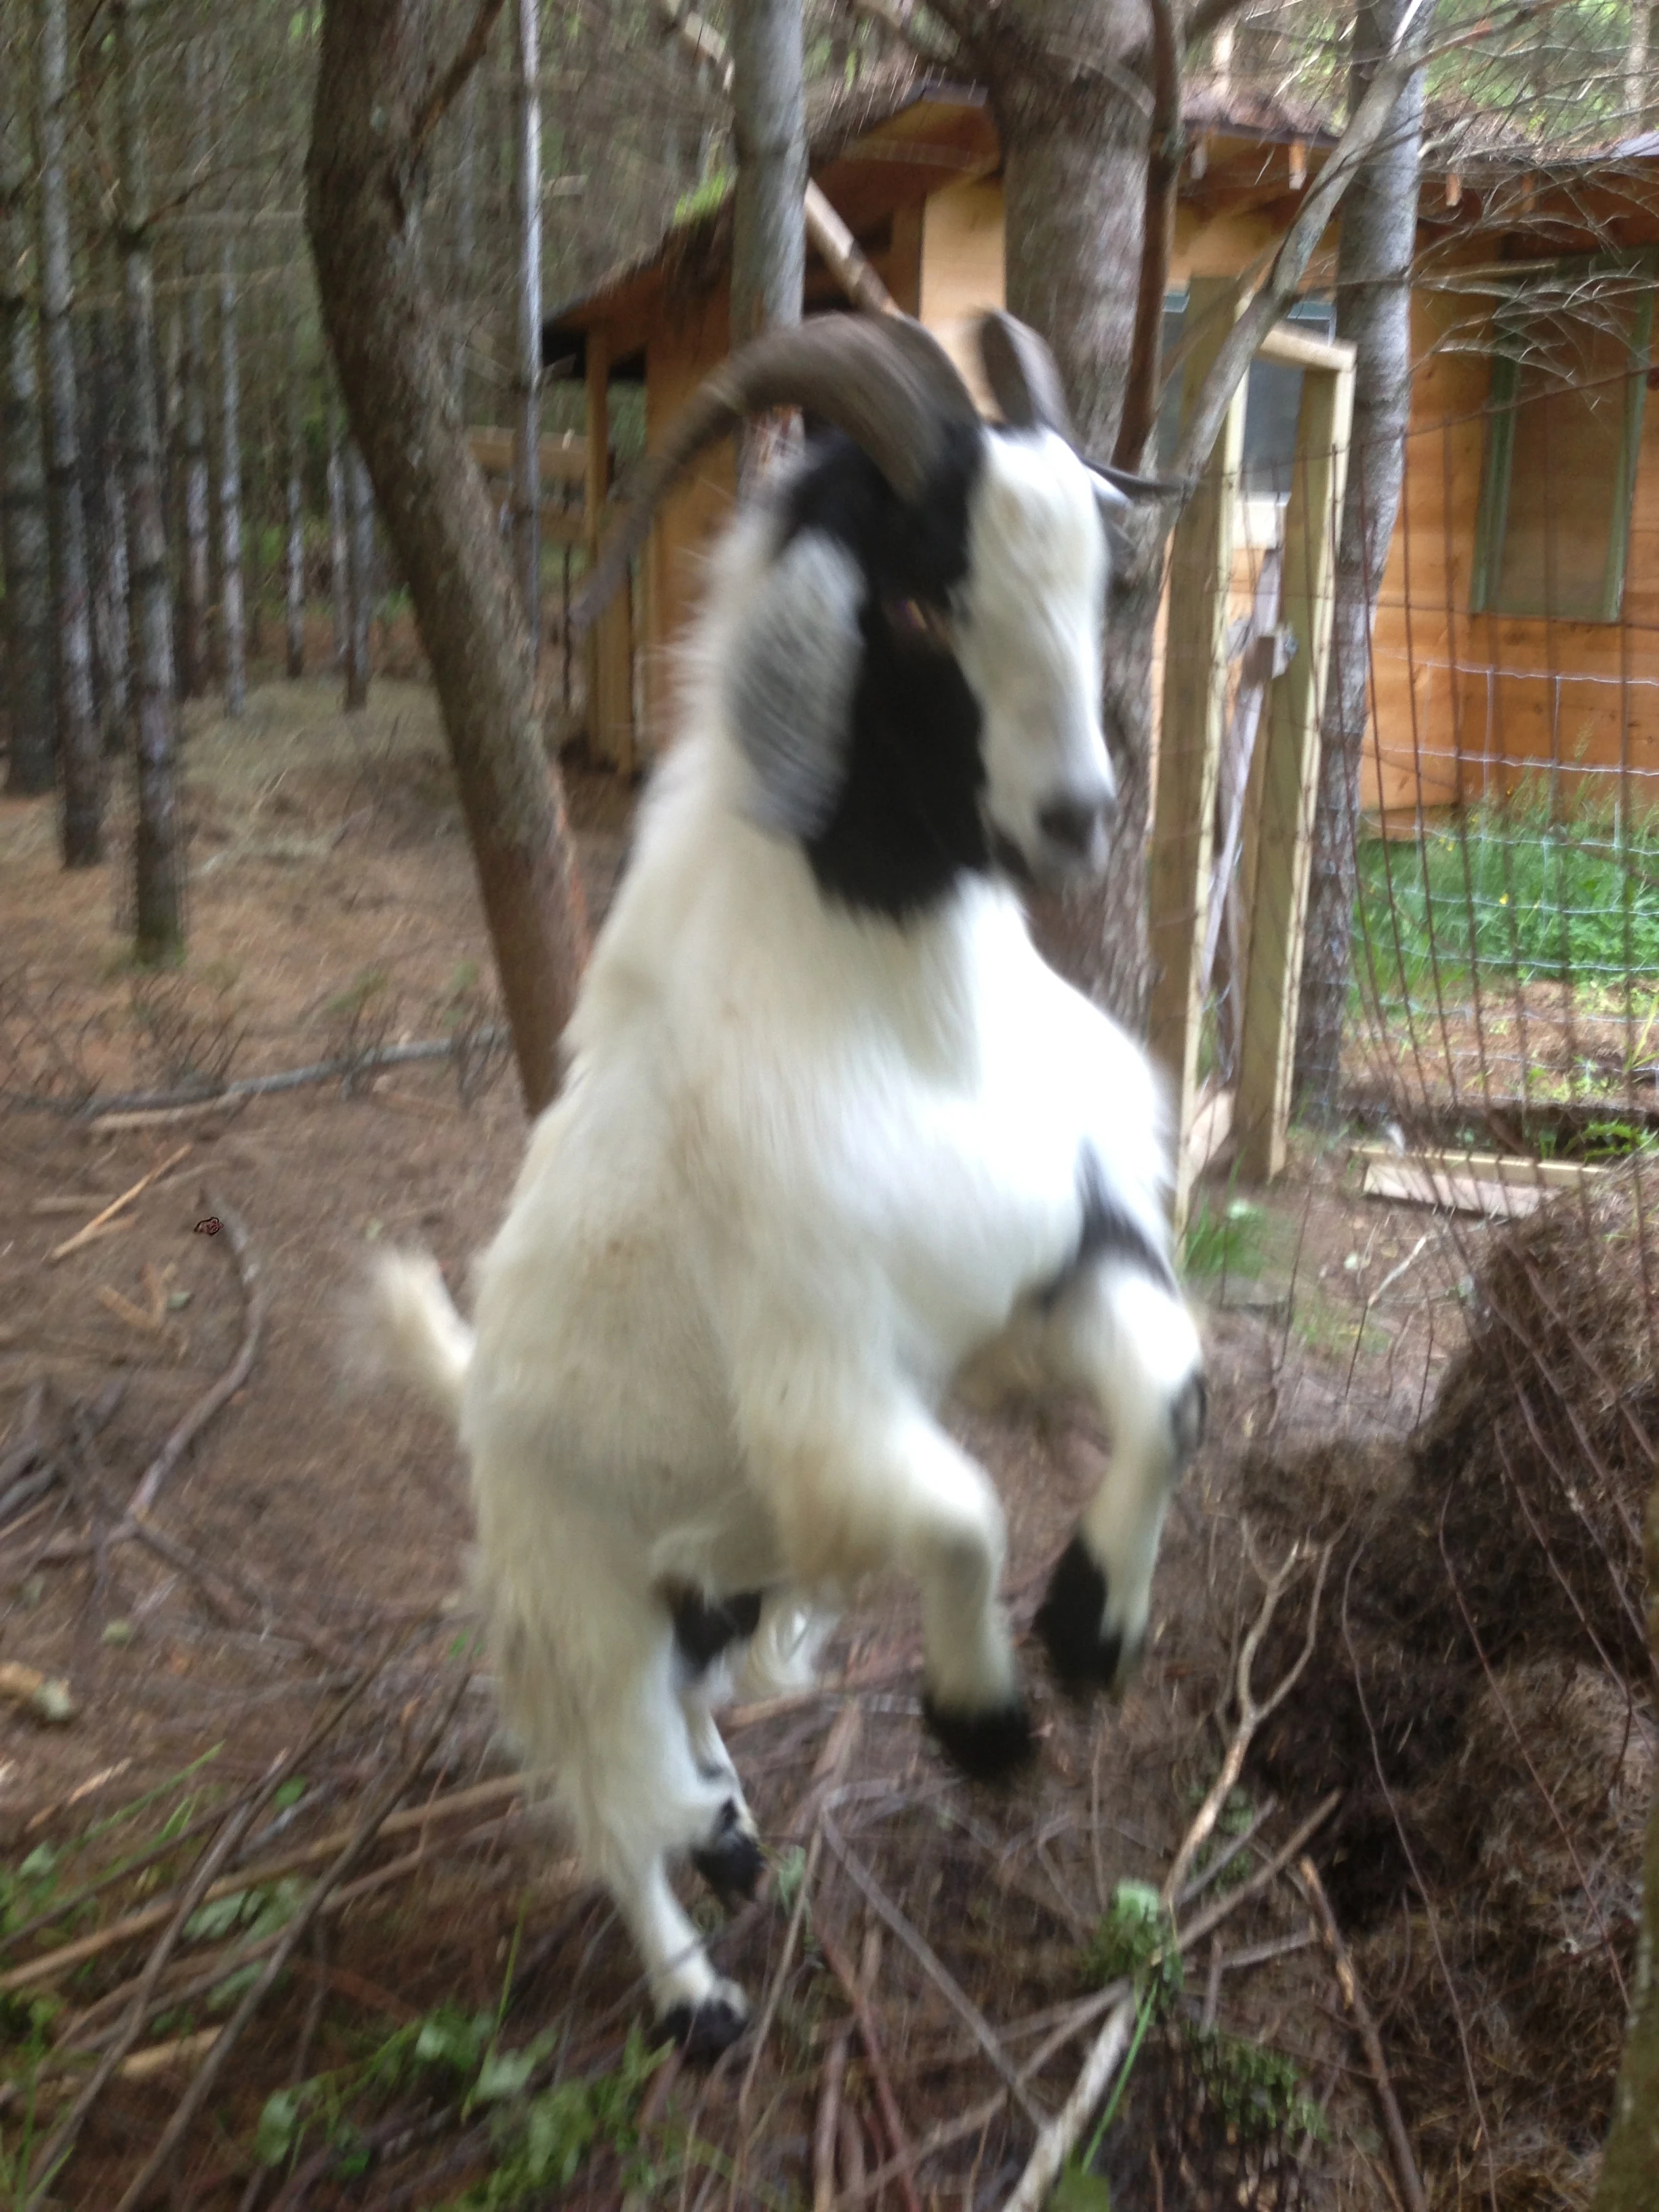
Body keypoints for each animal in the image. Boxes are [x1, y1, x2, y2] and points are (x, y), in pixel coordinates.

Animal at [372, 312, 1206, 2058]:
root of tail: (473, 1388)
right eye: (919, 598)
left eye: (1099, 579)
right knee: (606, 1796)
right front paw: (984, 1720)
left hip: (701, 1573)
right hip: (581, 1601)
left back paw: (732, 1832)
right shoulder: (823, 1386)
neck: (911, 1019)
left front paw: (1093, 1624)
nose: (1075, 819)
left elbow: (1170, 1388)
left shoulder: (1038, 1273)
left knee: (685, 1725)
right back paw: (694, 1989)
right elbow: (961, 1511)